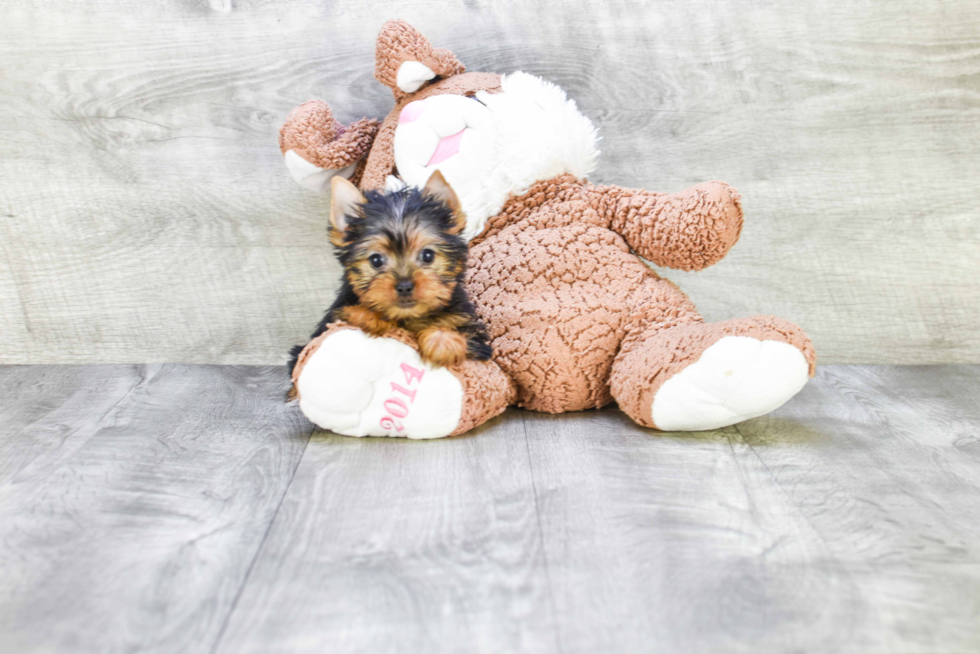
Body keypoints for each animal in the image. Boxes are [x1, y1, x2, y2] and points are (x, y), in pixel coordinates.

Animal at [290, 172, 490, 390]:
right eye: (376, 260)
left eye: (428, 255)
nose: (404, 287)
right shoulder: (333, 318)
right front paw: (371, 316)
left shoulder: (474, 337)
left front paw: (442, 342)